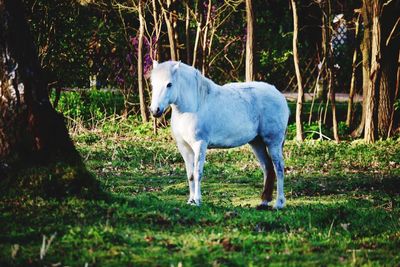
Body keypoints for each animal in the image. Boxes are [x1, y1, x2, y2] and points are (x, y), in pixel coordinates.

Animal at [148, 60, 290, 209]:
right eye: (153, 84)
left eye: (169, 84)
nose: (155, 110)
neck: (195, 105)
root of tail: (279, 95)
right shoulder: (184, 147)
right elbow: (190, 174)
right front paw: (190, 201)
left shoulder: (200, 145)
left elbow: (198, 173)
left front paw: (197, 200)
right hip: (257, 143)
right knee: (267, 168)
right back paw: (264, 202)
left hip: (273, 142)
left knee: (279, 168)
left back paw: (279, 203)